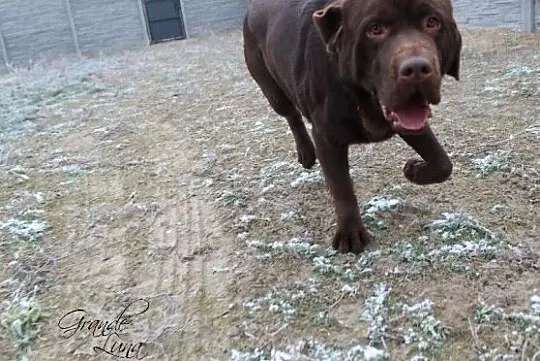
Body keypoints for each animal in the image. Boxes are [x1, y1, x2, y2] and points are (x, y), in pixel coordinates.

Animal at [243, 0, 462, 253]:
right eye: (375, 29)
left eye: (432, 22)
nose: (416, 68)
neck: (361, 98)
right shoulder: (326, 138)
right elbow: (342, 187)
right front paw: (350, 232)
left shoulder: (409, 119)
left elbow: (443, 163)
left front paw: (414, 170)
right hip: (271, 88)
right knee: (291, 114)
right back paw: (306, 152)